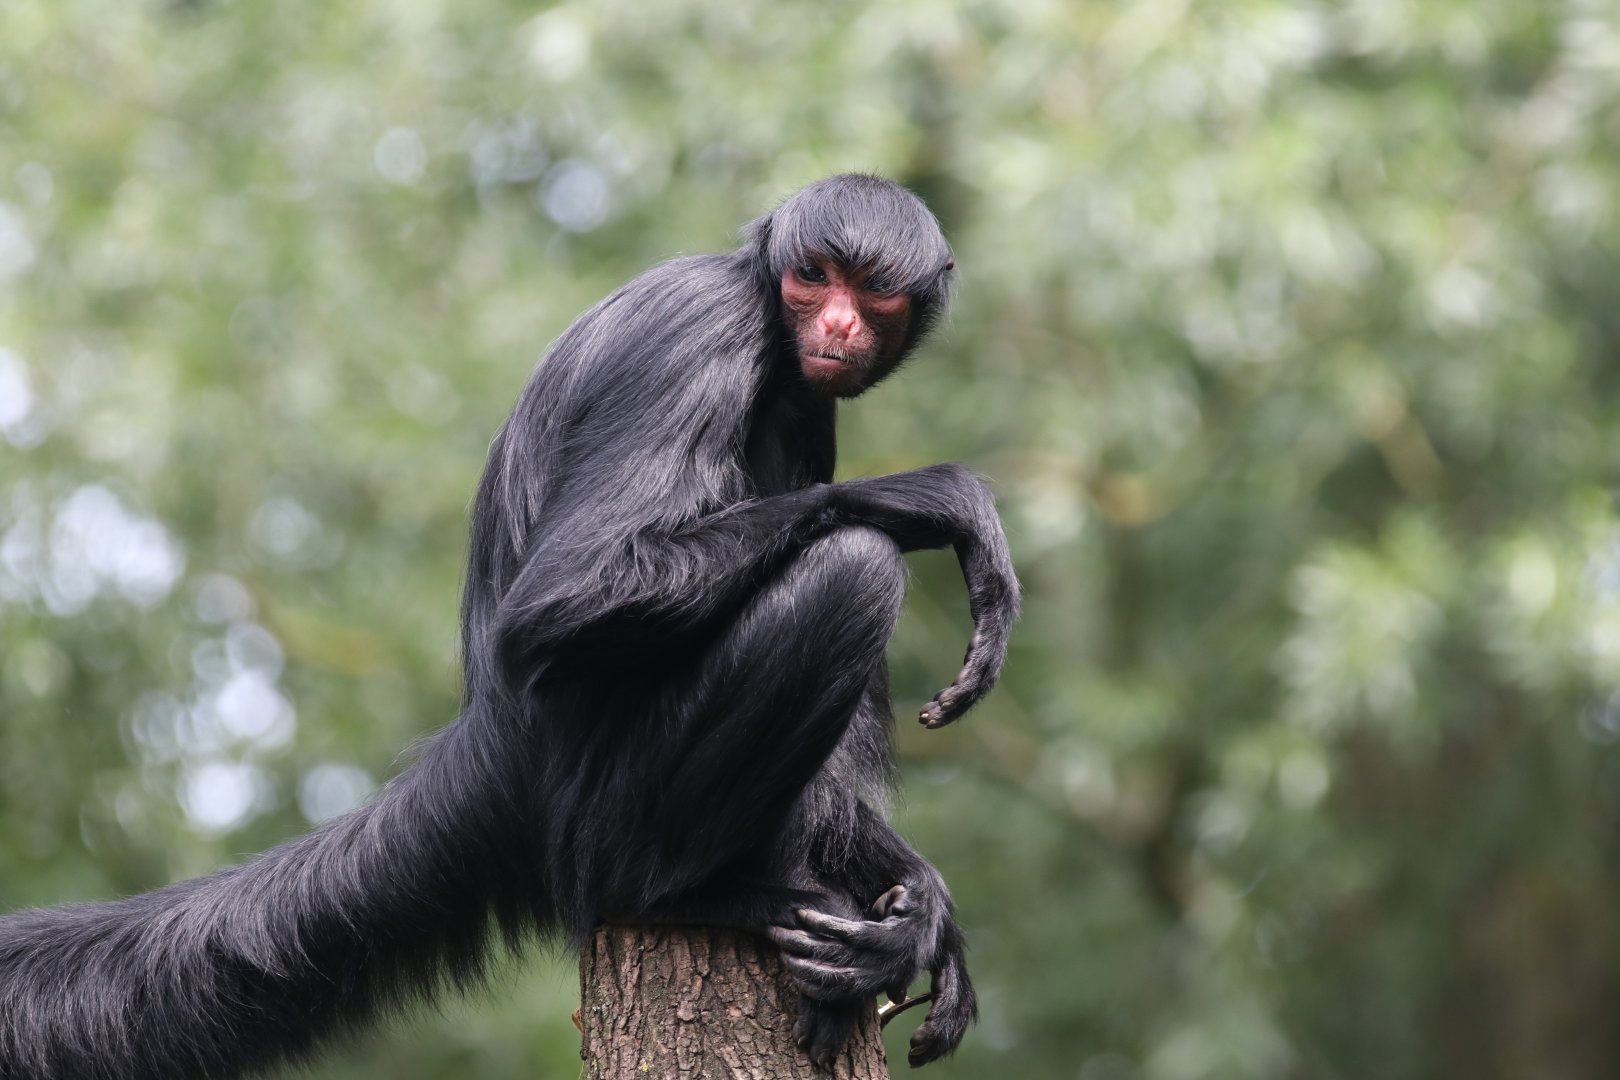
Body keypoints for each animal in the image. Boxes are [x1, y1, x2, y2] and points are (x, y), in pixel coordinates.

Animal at [0, 173, 1019, 1079]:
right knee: (851, 566)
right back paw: (686, 888)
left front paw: (919, 903)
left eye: (871, 288)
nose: (837, 325)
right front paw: (933, 500)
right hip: (600, 804)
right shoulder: (702, 331)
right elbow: (562, 605)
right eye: (813, 274)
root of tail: (489, 740)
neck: (762, 309)